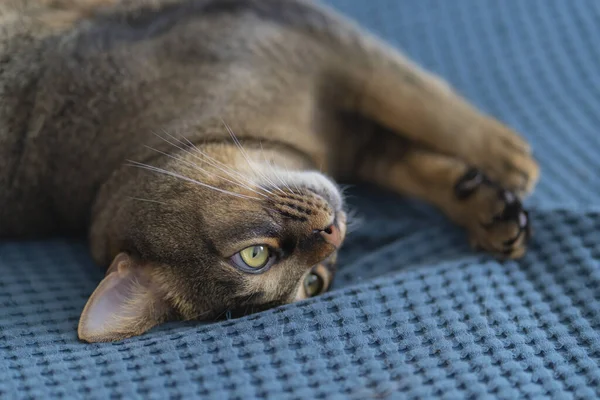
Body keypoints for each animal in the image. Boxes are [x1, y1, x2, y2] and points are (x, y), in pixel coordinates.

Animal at [0, 0, 540, 344]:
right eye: (314, 283)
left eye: (251, 255)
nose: (334, 232)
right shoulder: (349, 126)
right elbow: (409, 146)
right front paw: (490, 193)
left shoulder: (305, 34)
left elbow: (413, 99)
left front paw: (503, 158)